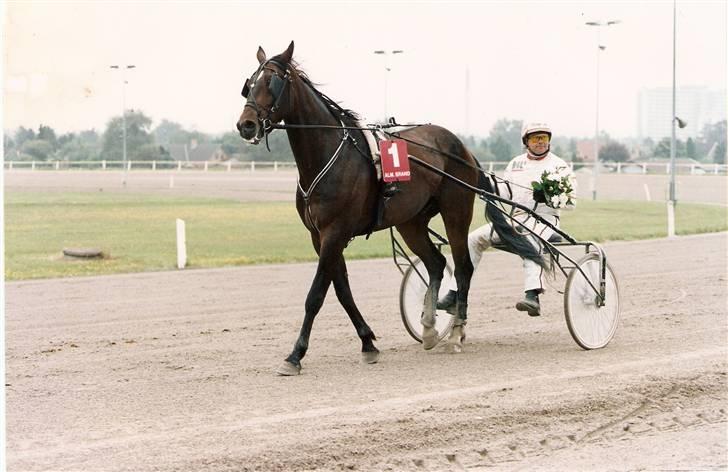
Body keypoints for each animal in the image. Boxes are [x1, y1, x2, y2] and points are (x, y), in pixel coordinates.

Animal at [236, 40, 544, 374]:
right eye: (250, 84)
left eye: (272, 82)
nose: (246, 124)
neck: (327, 155)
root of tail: (463, 148)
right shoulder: (320, 236)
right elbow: (342, 290)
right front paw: (368, 343)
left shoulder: (335, 232)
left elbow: (316, 294)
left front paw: (295, 355)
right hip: (411, 221)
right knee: (436, 263)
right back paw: (429, 329)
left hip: (456, 210)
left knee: (463, 266)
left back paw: (456, 332)